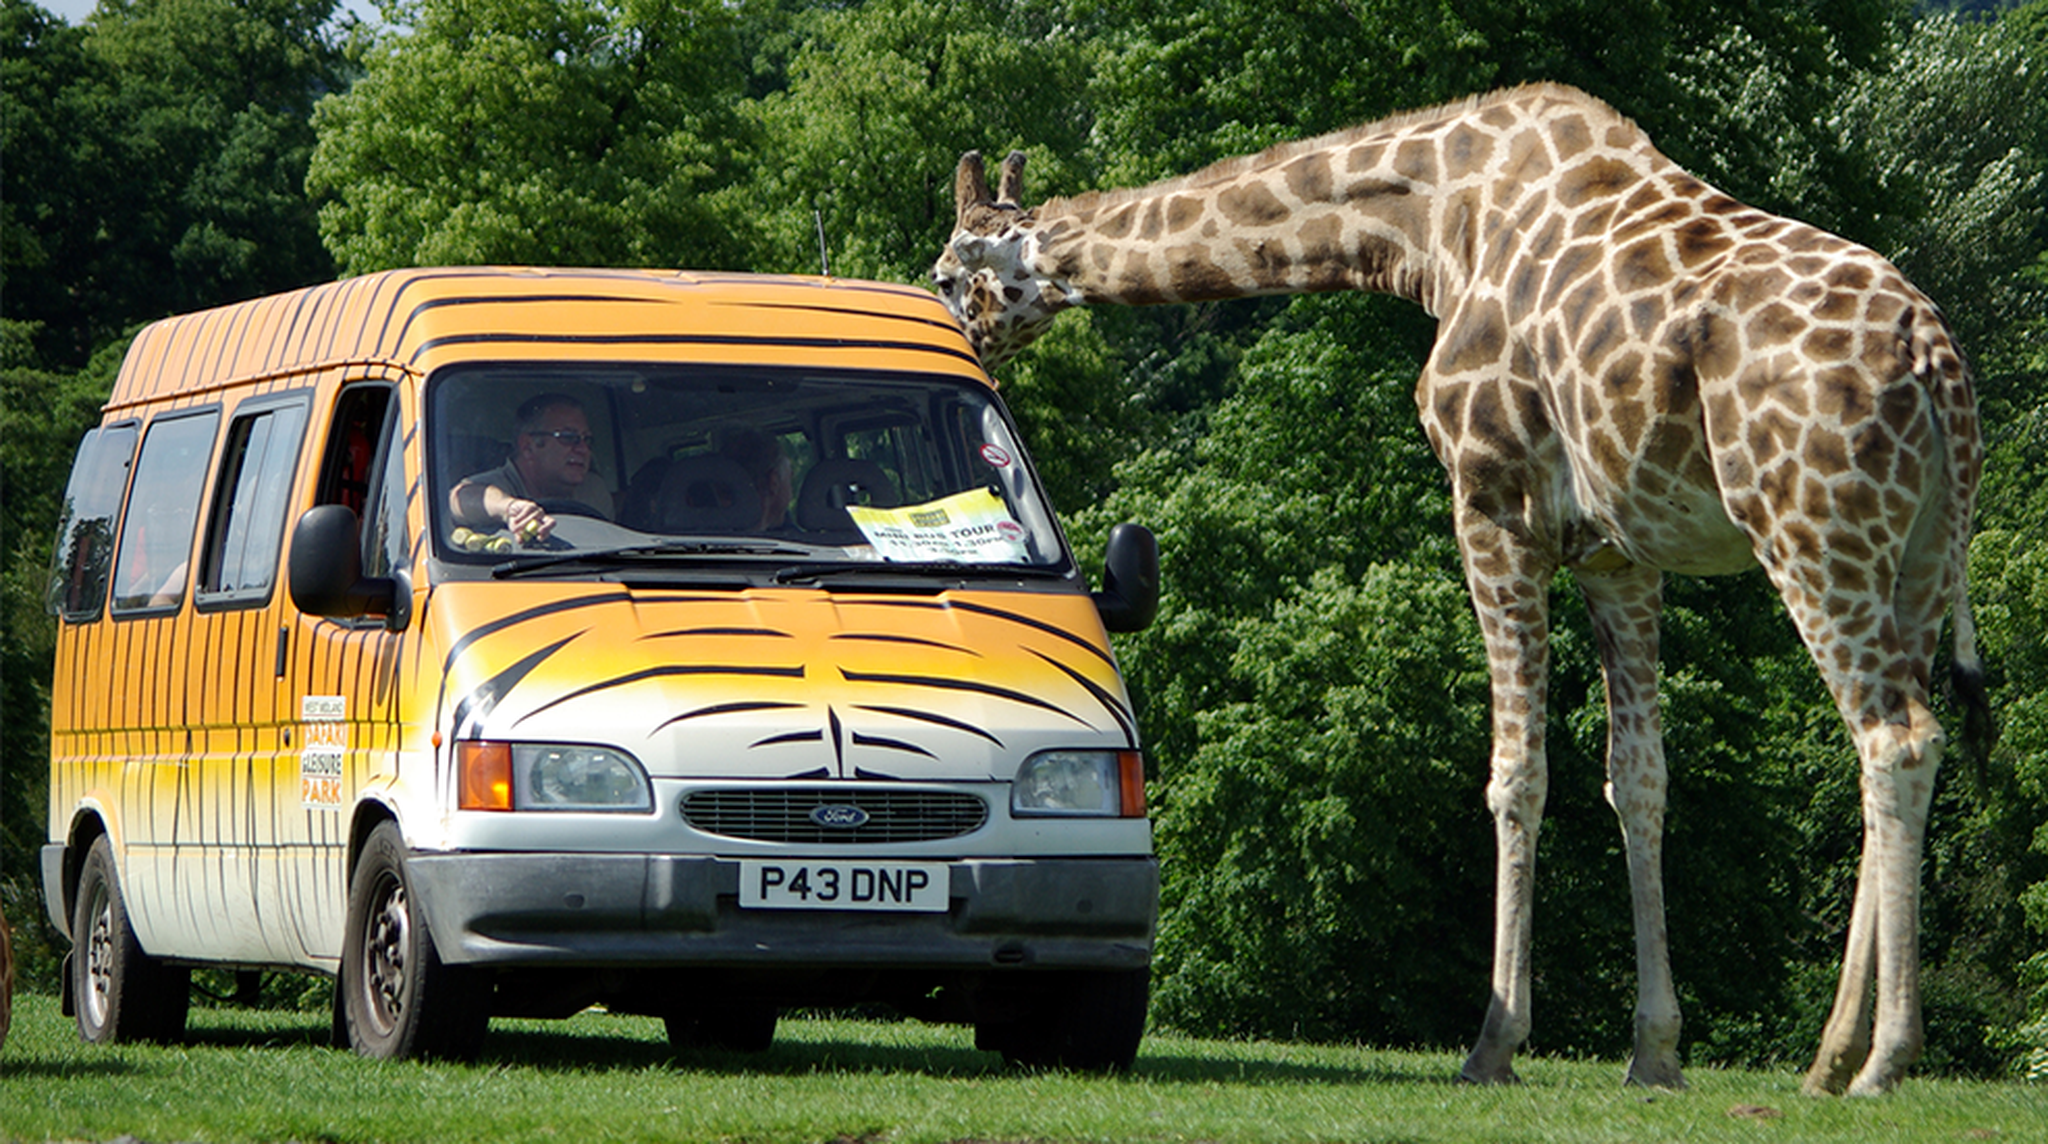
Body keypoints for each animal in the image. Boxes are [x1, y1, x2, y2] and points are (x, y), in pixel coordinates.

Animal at [930, 83, 1989, 1095]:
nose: (958, 342)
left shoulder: (1492, 505)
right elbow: (1639, 779)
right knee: (1885, 744)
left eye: (946, 274)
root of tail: (1937, 362)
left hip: (1810, 530)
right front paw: (1653, 1054)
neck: (1435, 225)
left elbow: (1518, 773)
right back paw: (1830, 1059)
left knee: (1897, 739)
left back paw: (1883, 1061)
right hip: (1915, 561)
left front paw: (1495, 1043)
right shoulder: (1616, 553)